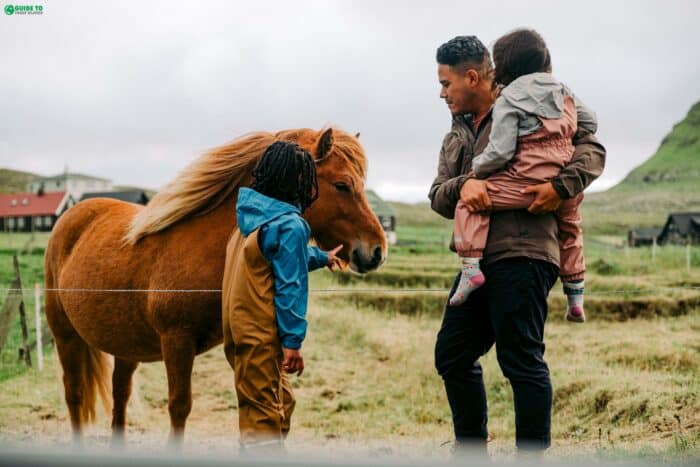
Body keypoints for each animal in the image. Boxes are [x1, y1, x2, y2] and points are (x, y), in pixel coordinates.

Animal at [45, 127, 388, 446]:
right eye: (342, 185)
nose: (377, 251)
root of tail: (72, 216)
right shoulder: (177, 342)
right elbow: (179, 407)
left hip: (125, 345)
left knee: (120, 395)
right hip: (66, 336)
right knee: (74, 393)